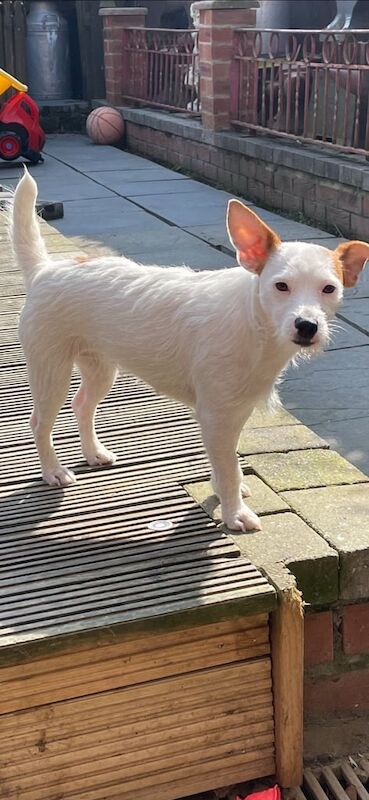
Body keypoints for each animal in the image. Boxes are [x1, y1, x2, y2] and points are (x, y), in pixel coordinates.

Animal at [10, 170, 366, 532]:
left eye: (329, 289)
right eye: (281, 286)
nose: (307, 326)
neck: (255, 328)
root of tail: (45, 270)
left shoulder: (234, 412)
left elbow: (227, 461)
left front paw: (223, 491)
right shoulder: (216, 415)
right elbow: (229, 466)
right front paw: (234, 512)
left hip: (100, 369)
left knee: (82, 405)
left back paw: (93, 453)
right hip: (50, 371)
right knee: (39, 422)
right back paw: (53, 471)